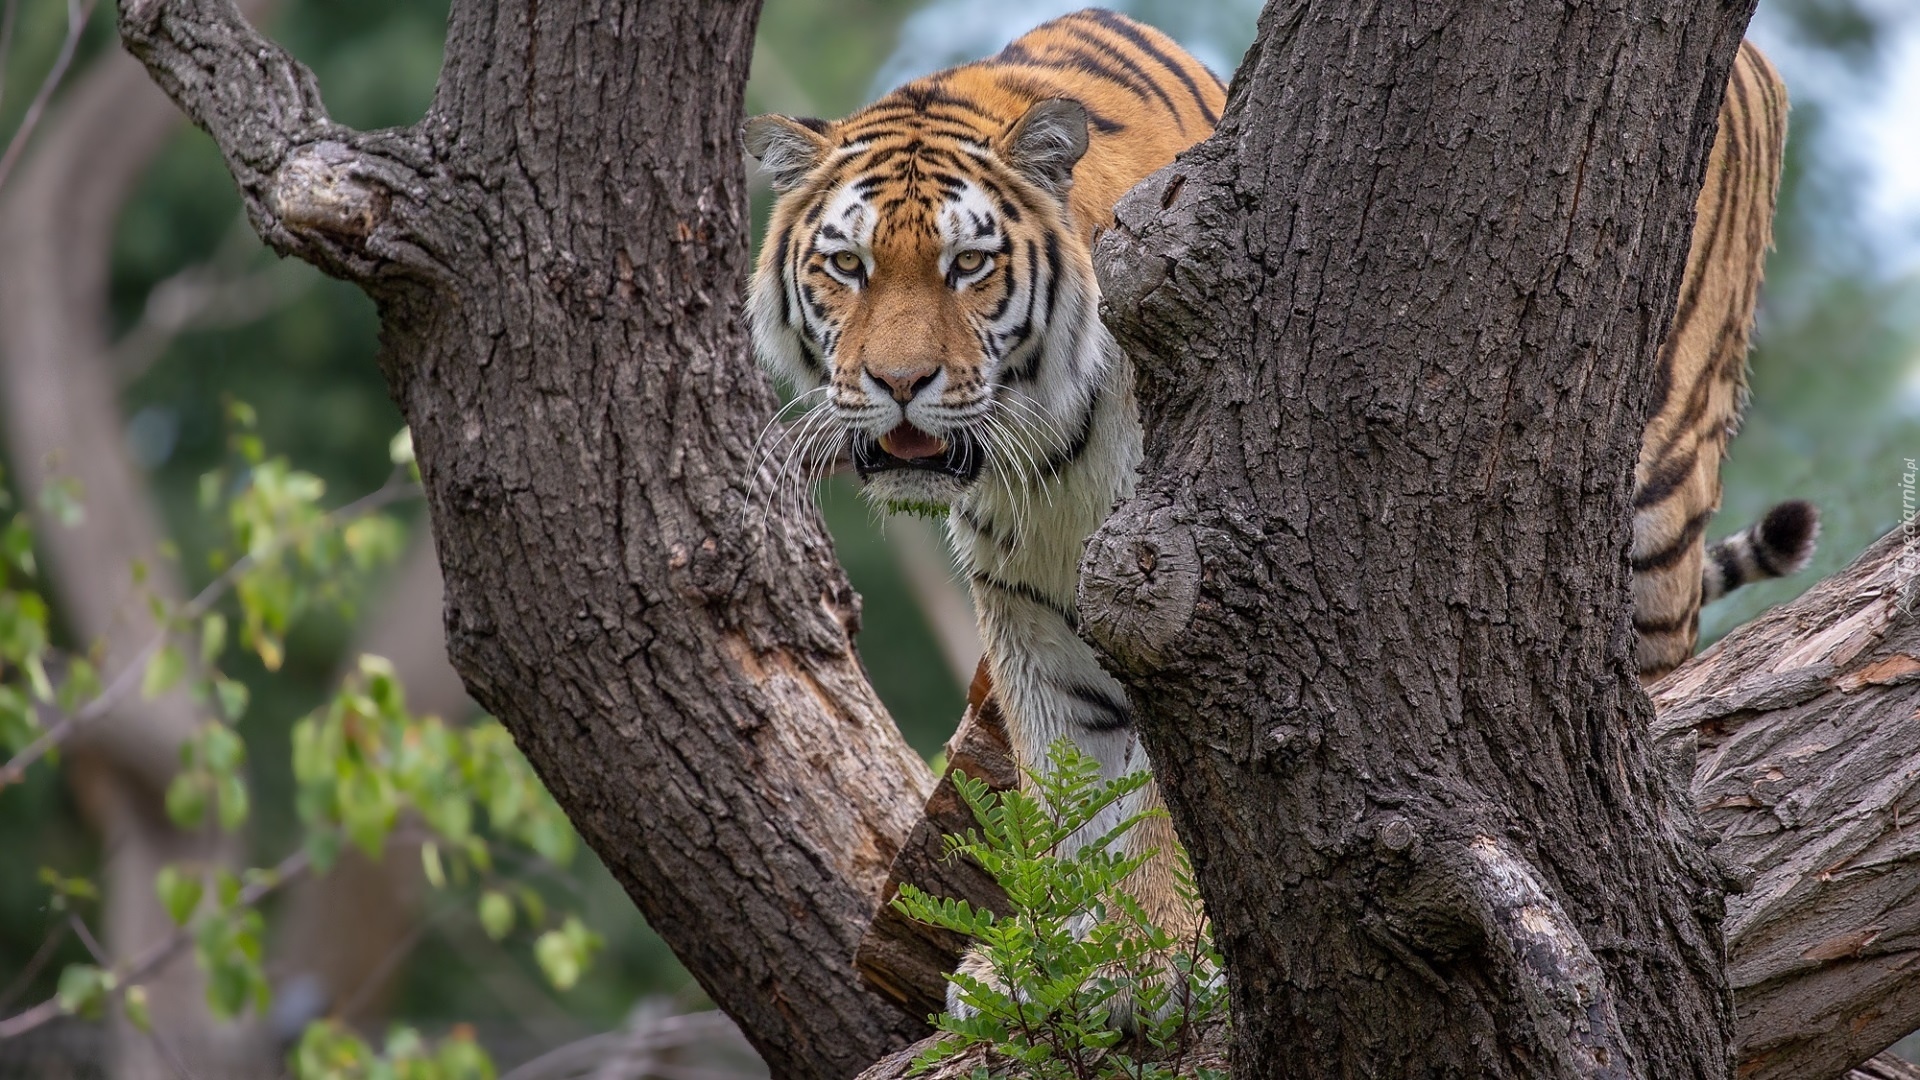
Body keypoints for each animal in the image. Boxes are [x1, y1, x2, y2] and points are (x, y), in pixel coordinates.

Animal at [744, 8, 1812, 1014]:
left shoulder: (1179, 597)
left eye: (968, 267)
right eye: (847, 267)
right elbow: (1074, 798)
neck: (1044, 449)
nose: (898, 385)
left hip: (1659, 497)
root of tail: (1760, 63)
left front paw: (1157, 959)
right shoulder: (1033, 614)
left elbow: (1169, 808)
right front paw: (1055, 962)